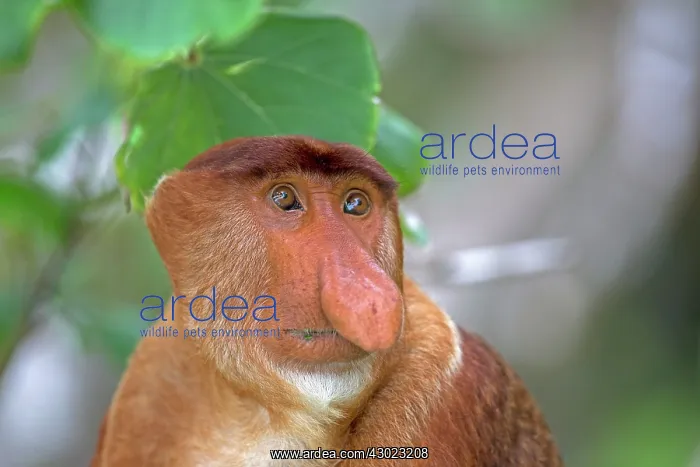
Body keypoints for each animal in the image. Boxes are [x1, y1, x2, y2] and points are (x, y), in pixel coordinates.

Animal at [91, 136, 563, 466]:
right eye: (285, 198)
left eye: (356, 203)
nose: (369, 293)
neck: (271, 418)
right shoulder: (152, 379)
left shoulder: (440, 386)